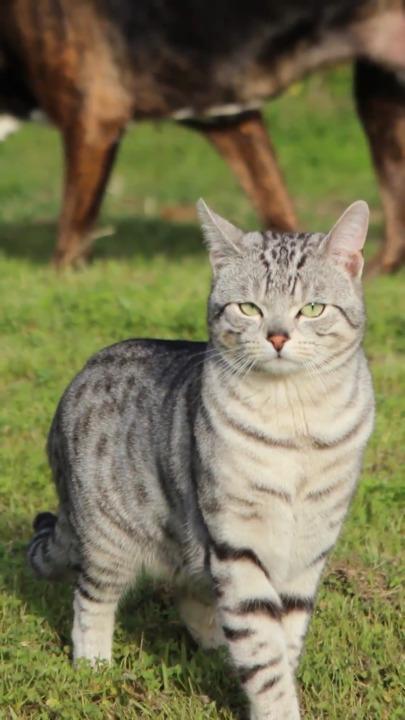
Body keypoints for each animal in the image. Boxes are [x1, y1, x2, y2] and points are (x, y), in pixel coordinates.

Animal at [27, 198, 372, 720]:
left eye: (312, 308)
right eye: (249, 308)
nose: (277, 337)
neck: (296, 422)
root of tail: (81, 372)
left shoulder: (307, 547)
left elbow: (281, 641)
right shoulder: (237, 540)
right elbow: (265, 652)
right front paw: (276, 703)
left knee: (191, 594)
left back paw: (216, 646)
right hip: (109, 538)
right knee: (91, 598)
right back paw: (94, 664)